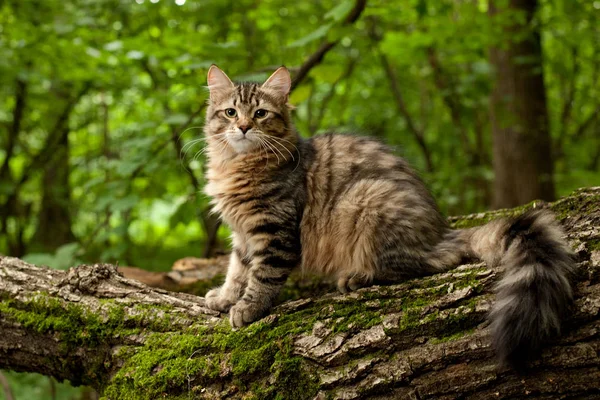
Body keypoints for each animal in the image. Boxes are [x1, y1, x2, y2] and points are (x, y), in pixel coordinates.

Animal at [204, 65, 576, 368]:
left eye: (260, 113)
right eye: (230, 112)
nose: (243, 127)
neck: (236, 165)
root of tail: (442, 230)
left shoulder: (276, 231)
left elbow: (262, 277)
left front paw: (248, 309)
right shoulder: (242, 234)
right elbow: (236, 270)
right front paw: (224, 298)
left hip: (366, 200)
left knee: (427, 264)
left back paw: (358, 277)